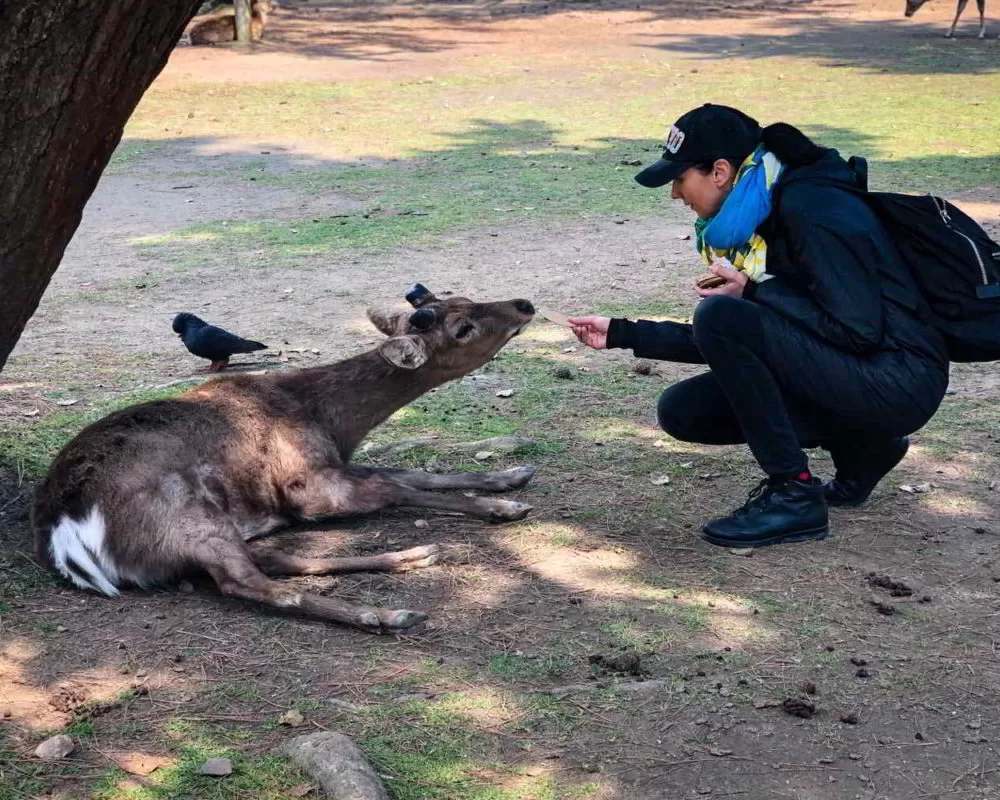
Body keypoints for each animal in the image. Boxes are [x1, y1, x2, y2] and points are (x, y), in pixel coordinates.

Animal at [35, 286, 540, 632]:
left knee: (272, 559)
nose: (524, 304)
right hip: (185, 513)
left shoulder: (335, 461)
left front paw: (511, 476)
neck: (329, 417)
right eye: (462, 328)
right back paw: (385, 613)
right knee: (249, 582)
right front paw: (501, 506)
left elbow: (410, 472)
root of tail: (65, 533)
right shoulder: (309, 486)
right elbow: (398, 486)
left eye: (467, 298)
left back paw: (415, 556)